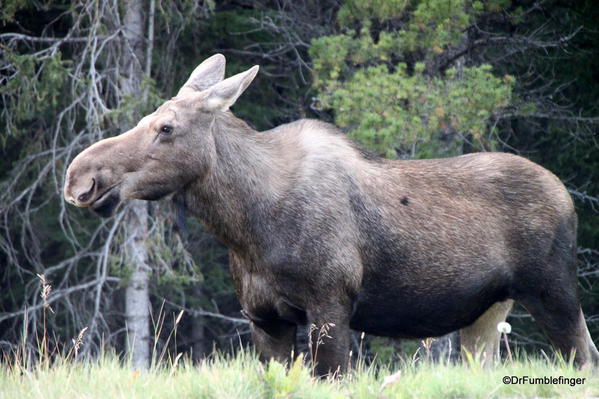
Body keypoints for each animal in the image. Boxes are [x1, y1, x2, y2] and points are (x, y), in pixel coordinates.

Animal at [63, 54, 596, 376]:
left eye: (167, 127)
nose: (79, 177)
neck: (246, 227)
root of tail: (567, 195)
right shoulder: (264, 319)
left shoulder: (330, 305)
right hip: (487, 311)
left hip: (553, 290)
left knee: (584, 356)